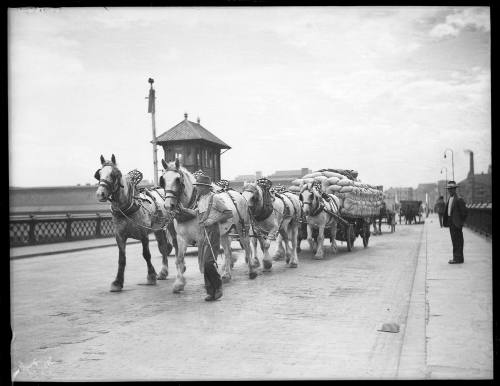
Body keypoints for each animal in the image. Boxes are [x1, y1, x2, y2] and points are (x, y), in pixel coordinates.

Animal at [94, 155, 178, 292]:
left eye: (113, 174)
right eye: (99, 174)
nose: (100, 194)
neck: (127, 208)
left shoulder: (143, 234)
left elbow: (146, 255)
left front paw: (151, 276)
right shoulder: (120, 236)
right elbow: (122, 259)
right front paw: (117, 282)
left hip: (170, 226)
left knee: (175, 245)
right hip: (159, 229)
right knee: (163, 247)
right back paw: (163, 272)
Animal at [159, 157, 256, 292]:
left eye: (177, 180)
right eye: (163, 180)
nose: (168, 205)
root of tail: (238, 195)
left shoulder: (202, 238)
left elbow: (203, 259)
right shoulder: (181, 238)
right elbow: (179, 259)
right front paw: (179, 283)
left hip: (242, 228)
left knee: (247, 246)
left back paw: (251, 270)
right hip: (224, 233)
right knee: (227, 251)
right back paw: (227, 274)